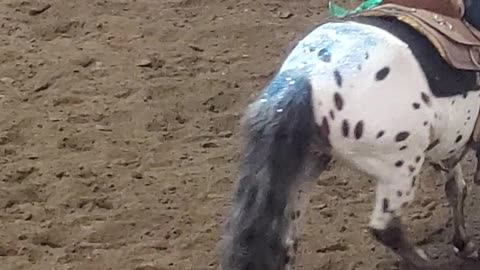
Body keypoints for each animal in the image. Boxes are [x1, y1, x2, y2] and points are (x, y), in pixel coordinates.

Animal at [219, 1, 480, 270]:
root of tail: (304, 77)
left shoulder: (450, 142)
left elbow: (456, 189)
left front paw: (464, 243)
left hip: (306, 168)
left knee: (283, 244)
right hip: (400, 169)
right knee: (385, 228)